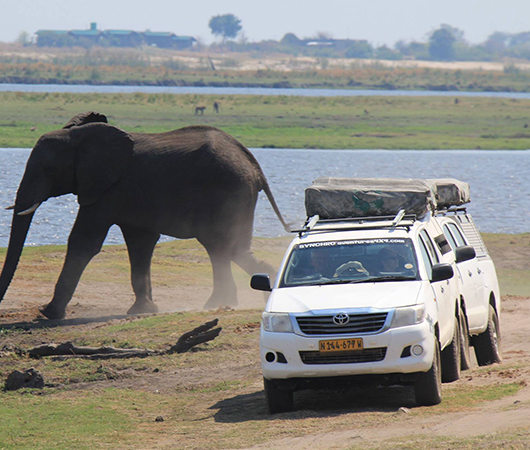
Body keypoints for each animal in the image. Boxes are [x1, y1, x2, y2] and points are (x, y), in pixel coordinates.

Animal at [0, 112, 288, 320]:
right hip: (238, 197)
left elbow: (84, 242)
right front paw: (143, 311)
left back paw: (218, 304)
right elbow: (140, 244)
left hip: (227, 192)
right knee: (234, 248)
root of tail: (254, 166)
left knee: (218, 246)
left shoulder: (107, 190)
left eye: (47, 168)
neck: (78, 135)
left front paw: (48, 314)